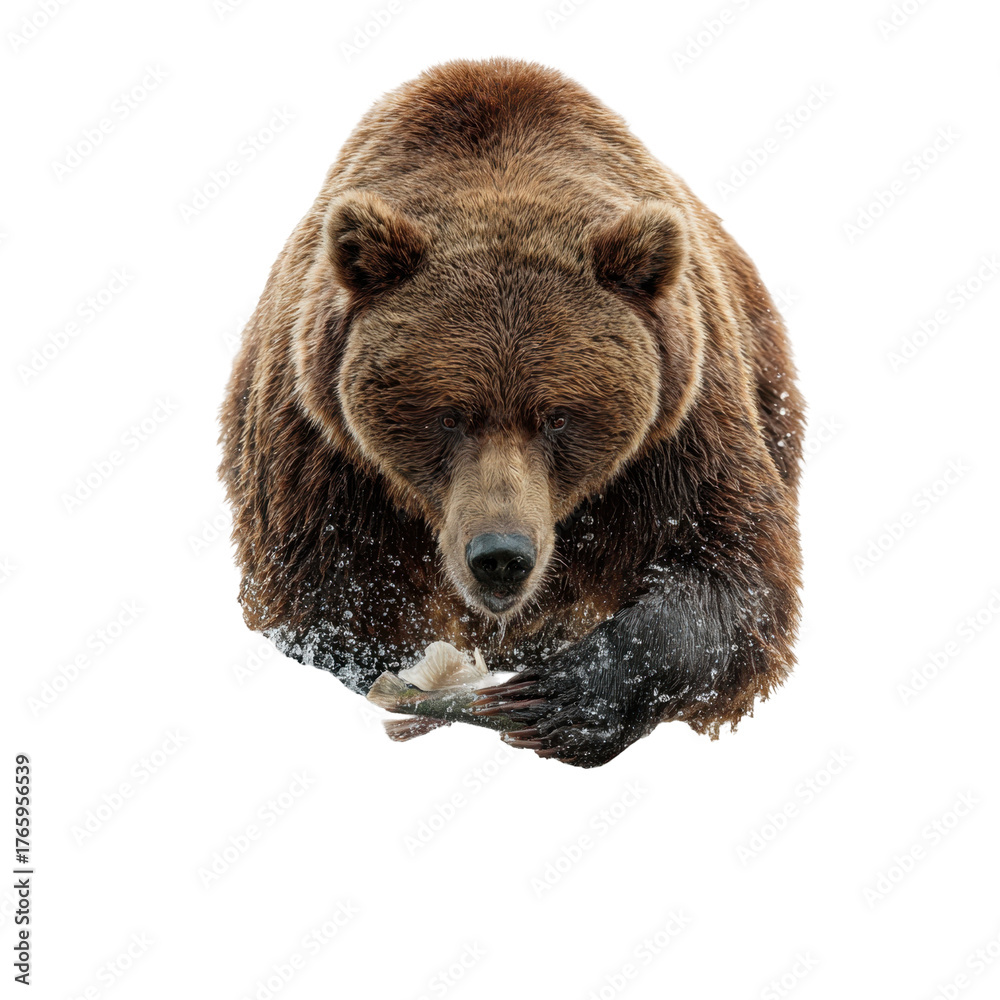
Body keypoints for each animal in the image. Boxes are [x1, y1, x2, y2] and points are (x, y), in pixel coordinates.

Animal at [219, 57, 804, 768]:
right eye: (449, 415)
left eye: (558, 416)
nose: (500, 556)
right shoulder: (323, 449)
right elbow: (322, 601)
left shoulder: (676, 423)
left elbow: (732, 572)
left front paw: (564, 696)